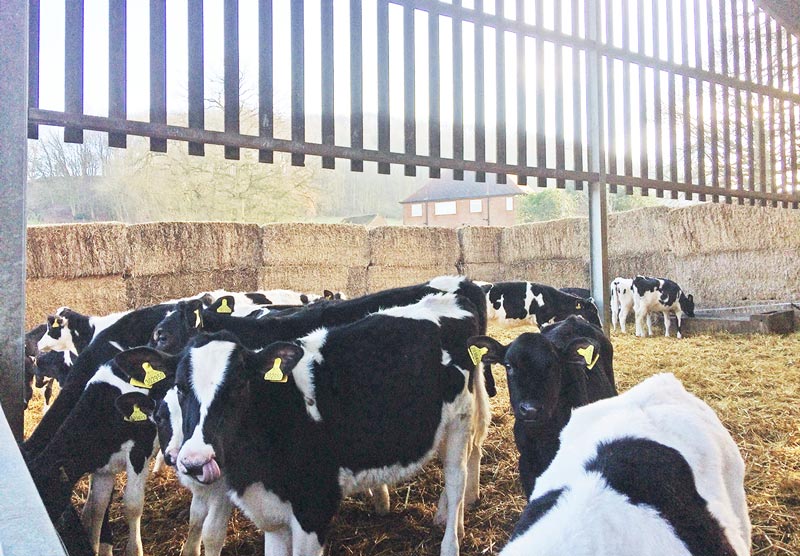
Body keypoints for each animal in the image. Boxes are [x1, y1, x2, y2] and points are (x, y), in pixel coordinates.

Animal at [173, 294, 488, 552]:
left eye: (238, 386)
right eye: (180, 388)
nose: (194, 461)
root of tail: (453, 300)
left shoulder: (315, 508)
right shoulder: (271, 516)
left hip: (461, 418)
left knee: (456, 478)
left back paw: (451, 541)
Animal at [468, 314, 612, 498]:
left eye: (553, 365)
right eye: (509, 365)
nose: (530, 409)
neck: (544, 435)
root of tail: (573, 318)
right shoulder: (526, 463)